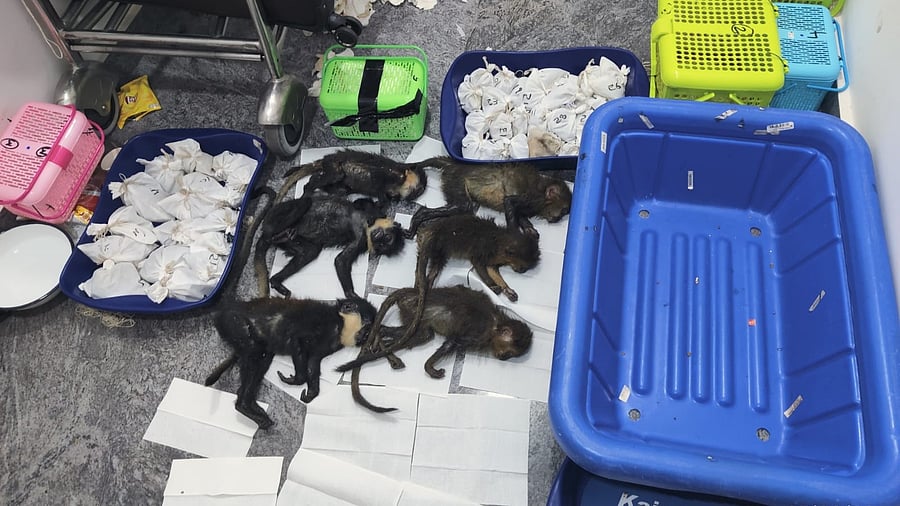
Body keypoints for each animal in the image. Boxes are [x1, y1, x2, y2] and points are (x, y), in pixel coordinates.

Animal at [253, 194, 405, 299]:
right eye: (387, 238)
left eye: (382, 245)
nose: (379, 240)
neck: (367, 226)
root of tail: (266, 230)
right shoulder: (369, 218)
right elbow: (362, 202)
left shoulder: (362, 240)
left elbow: (341, 260)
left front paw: (351, 295)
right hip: (275, 215)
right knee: (305, 202)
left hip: (290, 237)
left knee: (310, 251)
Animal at [275, 149, 428, 206]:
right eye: (418, 190)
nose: (411, 198)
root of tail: (325, 159)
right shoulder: (388, 174)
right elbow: (378, 185)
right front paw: (379, 203)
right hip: (334, 168)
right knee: (318, 179)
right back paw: (307, 191)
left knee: (335, 187)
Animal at [335, 284, 534, 413]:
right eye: (508, 354)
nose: (502, 358)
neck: (497, 324)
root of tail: (414, 292)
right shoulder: (476, 334)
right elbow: (451, 343)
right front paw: (430, 368)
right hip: (413, 309)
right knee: (423, 335)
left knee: (418, 334)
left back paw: (381, 341)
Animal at [409, 156, 572, 239]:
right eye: (564, 211)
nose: (558, 219)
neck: (542, 189)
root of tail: (454, 164)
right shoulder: (533, 198)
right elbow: (509, 202)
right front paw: (514, 237)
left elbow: (519, 214)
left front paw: (529, 230)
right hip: (455, 179)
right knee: (463, 206)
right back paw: (420, 215)